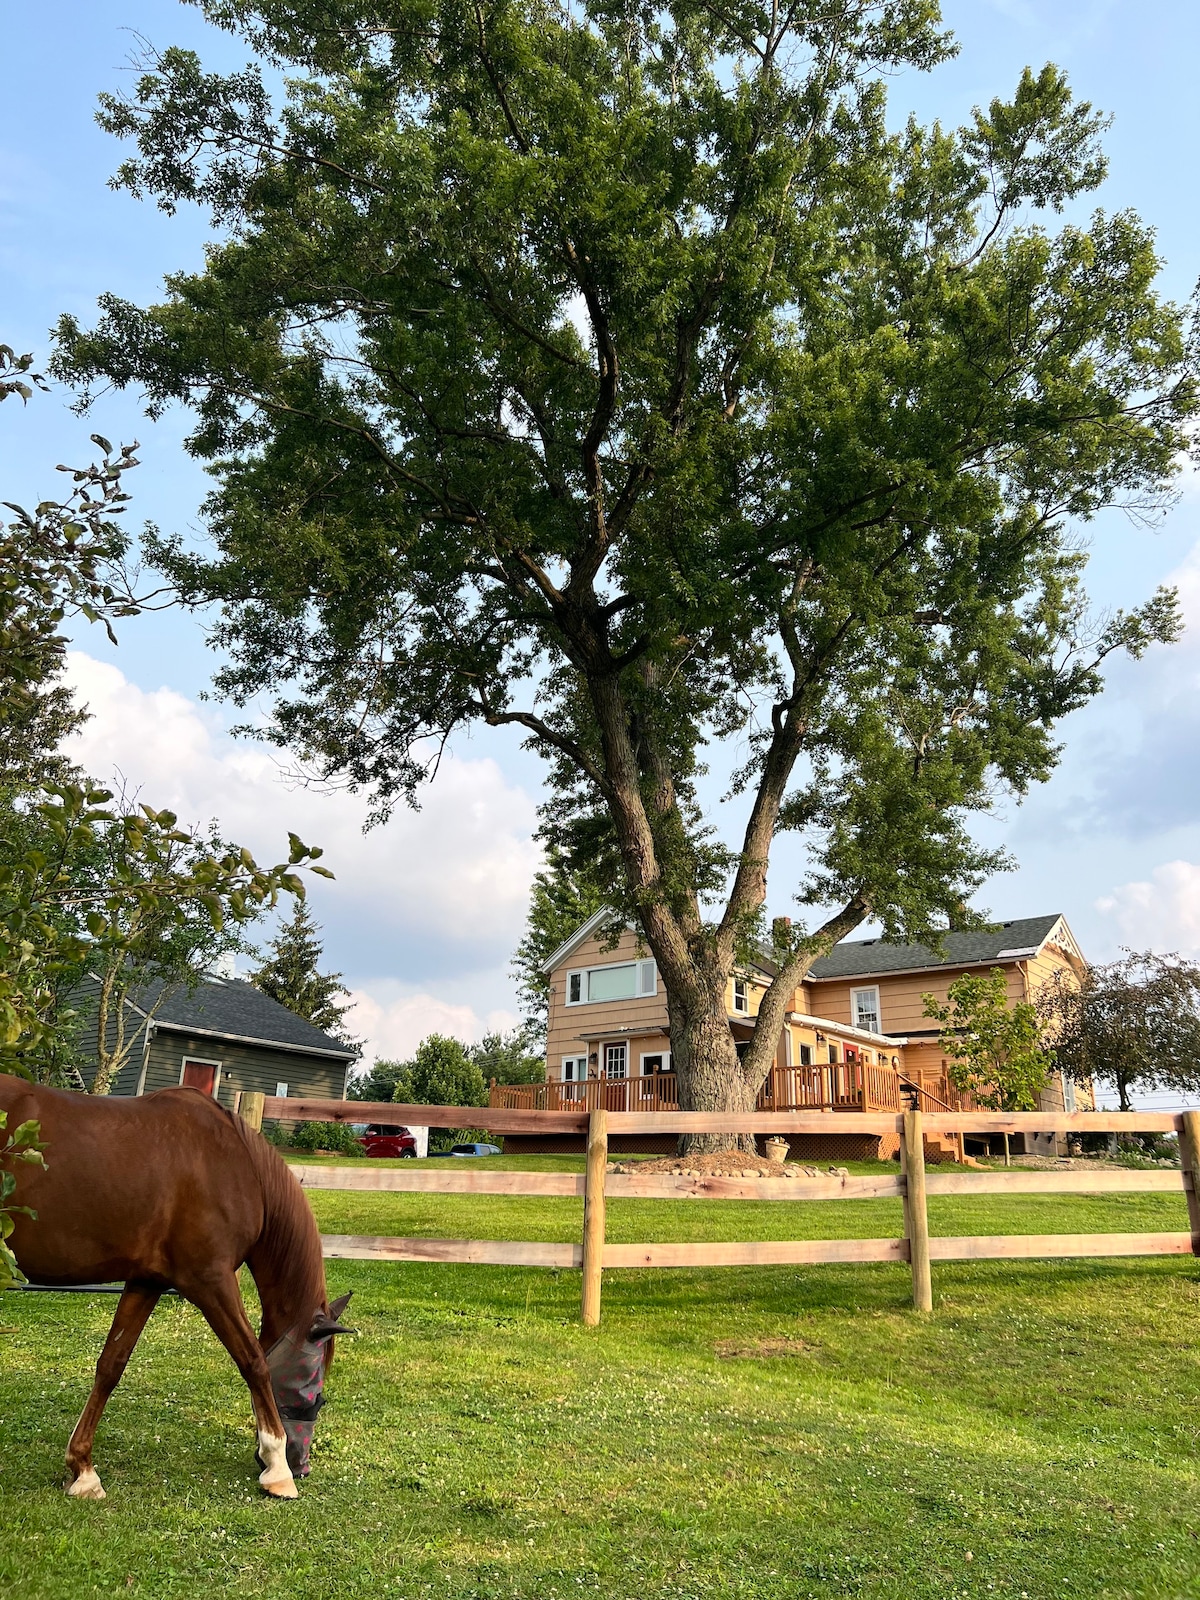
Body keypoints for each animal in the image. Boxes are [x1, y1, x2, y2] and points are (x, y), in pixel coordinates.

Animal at [0, 1075, 350, 1497]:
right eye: (312, 1386)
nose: (302, 1465)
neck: (236, 1163)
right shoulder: (211, 1281)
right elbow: (254, 1361)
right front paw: (277, 1467)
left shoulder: (146, 1281)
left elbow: (111, 1365)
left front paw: (82, 1468)